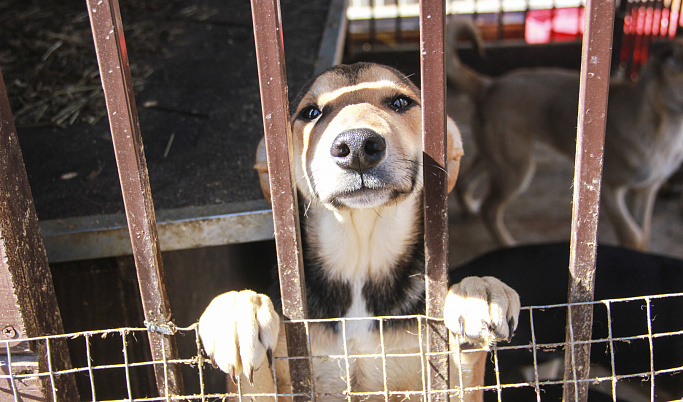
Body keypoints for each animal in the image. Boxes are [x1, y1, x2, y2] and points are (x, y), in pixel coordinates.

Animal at [195, 62, 520, 398]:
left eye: (400, 102)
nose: (356, 147)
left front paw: (477, 293)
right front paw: (237, 314)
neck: (360, 262)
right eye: (311, 112)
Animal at [446, 21, 683, 251]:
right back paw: (507, 244)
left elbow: (643, 234)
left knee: (465, 179)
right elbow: (633, 235)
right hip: (514, 168)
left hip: (498, 156)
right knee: (489, 209)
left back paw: (469, 207)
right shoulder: (608, 190)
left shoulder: (645, 189)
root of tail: (488, 85)